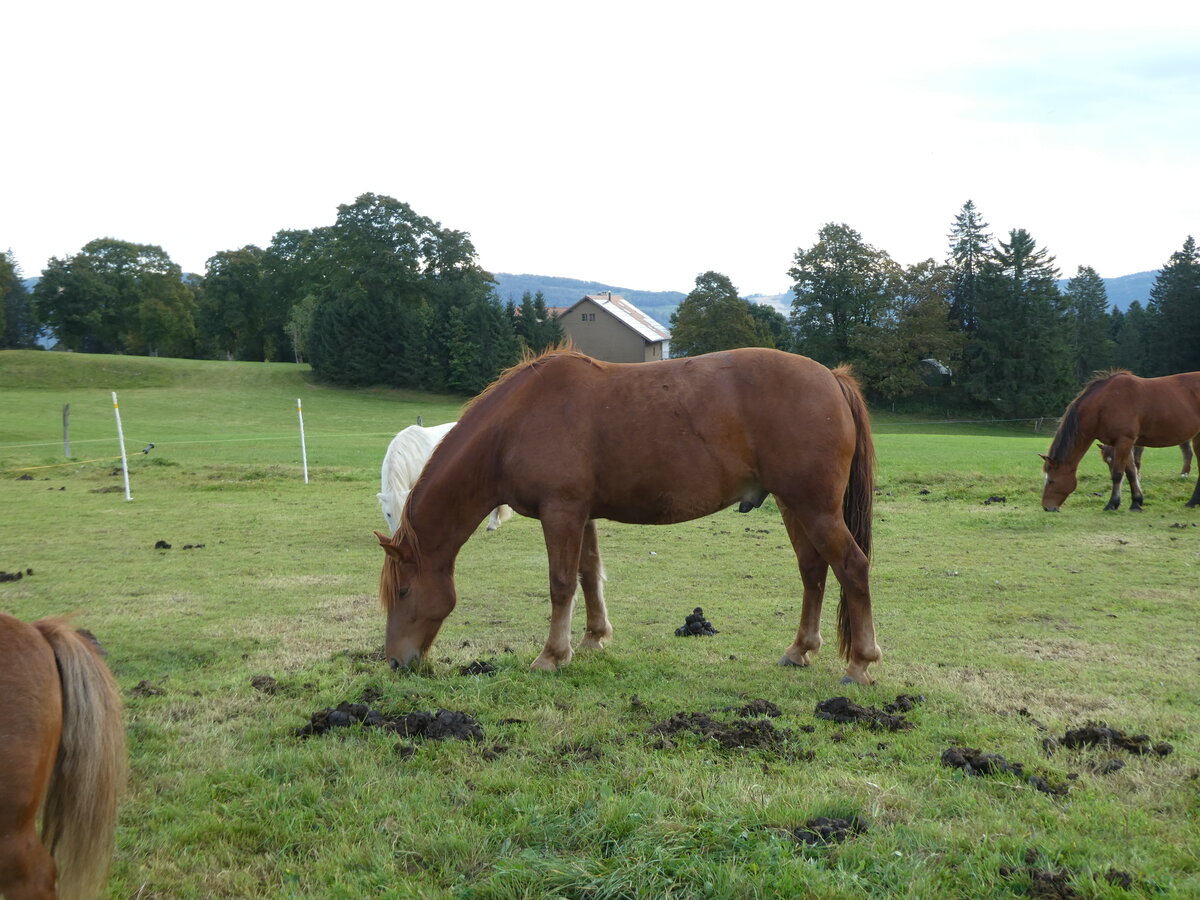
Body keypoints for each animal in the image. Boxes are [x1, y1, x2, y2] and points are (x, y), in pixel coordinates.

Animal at [1041, 369, 1200, 511]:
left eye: (1051, 480)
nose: (1047, 507)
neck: (1105, 404)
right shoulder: (1124, 444)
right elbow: (1131, 472)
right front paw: (1136, 502)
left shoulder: (1124, 441)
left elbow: (1118, 474)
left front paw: (1113, 503)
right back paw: (1192, 502)